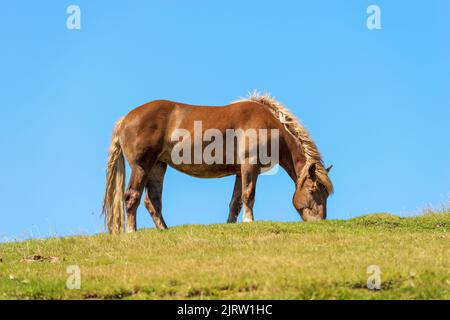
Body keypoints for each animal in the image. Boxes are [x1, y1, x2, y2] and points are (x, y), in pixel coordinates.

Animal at [103, 91, 334, 234]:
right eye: (314, 190)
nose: (320, 222)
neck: (270, 125)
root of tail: (125, 119)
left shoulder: (241, 171)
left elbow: (236, 202)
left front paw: (231, 225)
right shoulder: (250, 165)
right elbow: (249, 195)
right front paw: (249, 221)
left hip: (158, 166)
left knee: (153, 201)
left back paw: (164, 230)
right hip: (141, 166)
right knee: (132, 196)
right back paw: (132, 232)